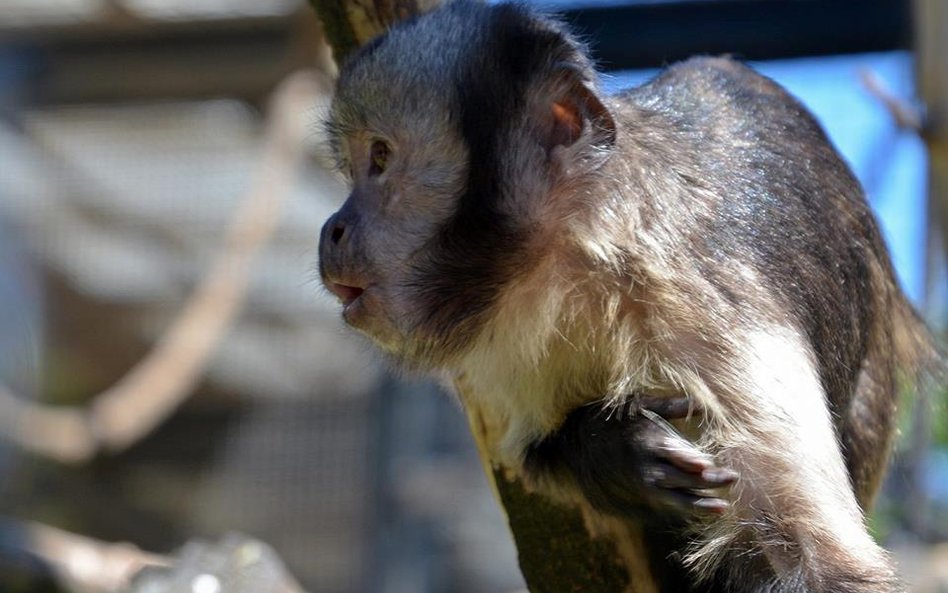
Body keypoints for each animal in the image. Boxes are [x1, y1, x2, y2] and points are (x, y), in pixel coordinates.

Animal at [316, 2, 932, 588]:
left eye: (380, 158)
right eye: (351, 167)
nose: (332, 228)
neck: (588, 270)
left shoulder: (708, 298)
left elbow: (823, 565)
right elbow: (538, 450)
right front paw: (619, 454)